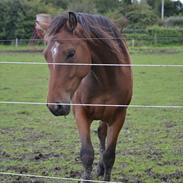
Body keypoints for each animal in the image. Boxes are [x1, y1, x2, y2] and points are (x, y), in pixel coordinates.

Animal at [36, 11, 133, 182]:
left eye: (71, 53)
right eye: (46, 55)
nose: (55, 106)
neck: (105, 79)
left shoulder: (119, 116)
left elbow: (109, 156)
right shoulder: (80, 113)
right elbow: (87, 154)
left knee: (102, 134)